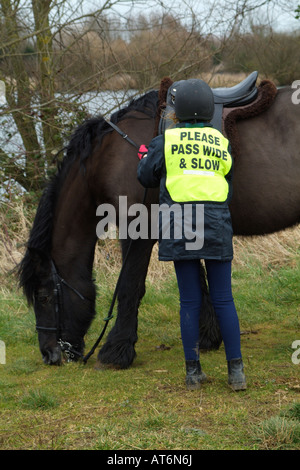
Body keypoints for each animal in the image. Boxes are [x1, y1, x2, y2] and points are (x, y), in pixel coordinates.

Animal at [18, 83, 300, 368]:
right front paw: (208, 336)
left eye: (43, 297)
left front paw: (117, 350)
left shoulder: (137, 229)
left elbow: (130, 286)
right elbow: (197, 283)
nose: (49, 354)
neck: (110, 158)